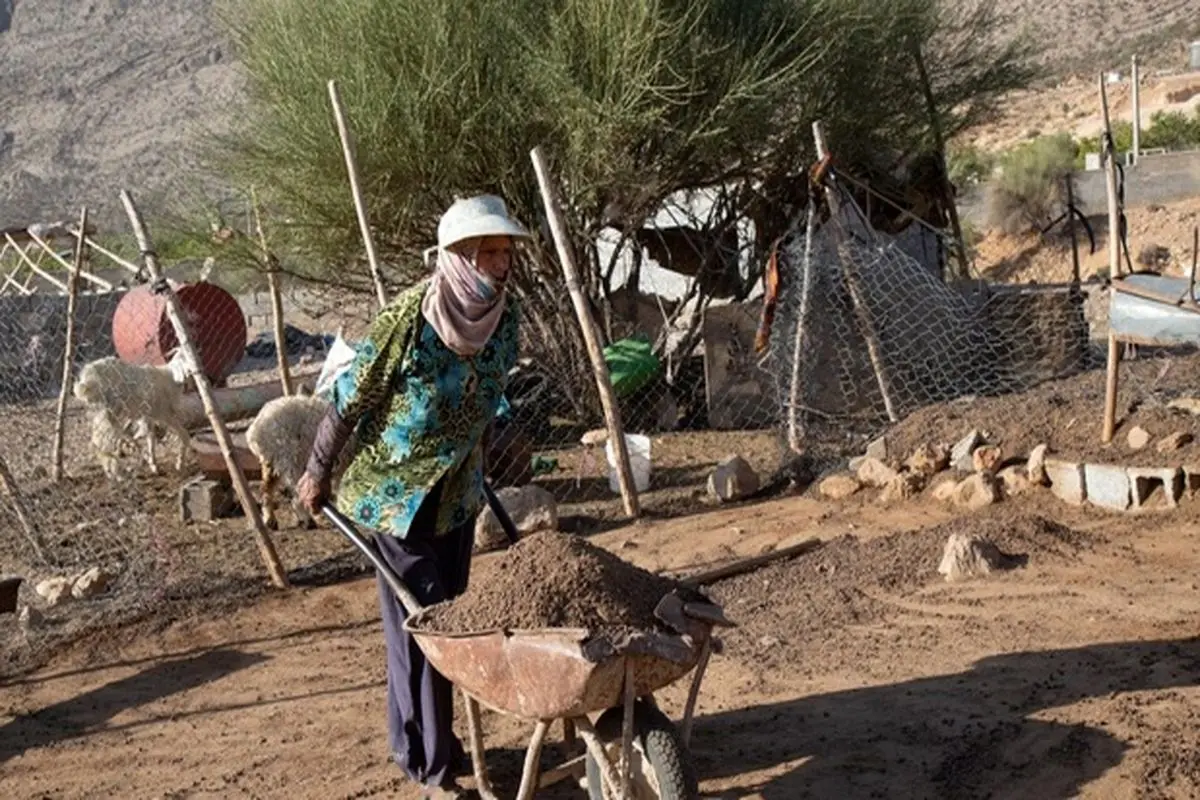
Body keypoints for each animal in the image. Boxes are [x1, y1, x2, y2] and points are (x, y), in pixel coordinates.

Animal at [243, 393, 350, 532]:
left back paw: (271, 520)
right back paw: (307, 519)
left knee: (266, 488)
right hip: (291, 459)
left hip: (272, 462)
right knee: (297, 492)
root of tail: (254, 431)